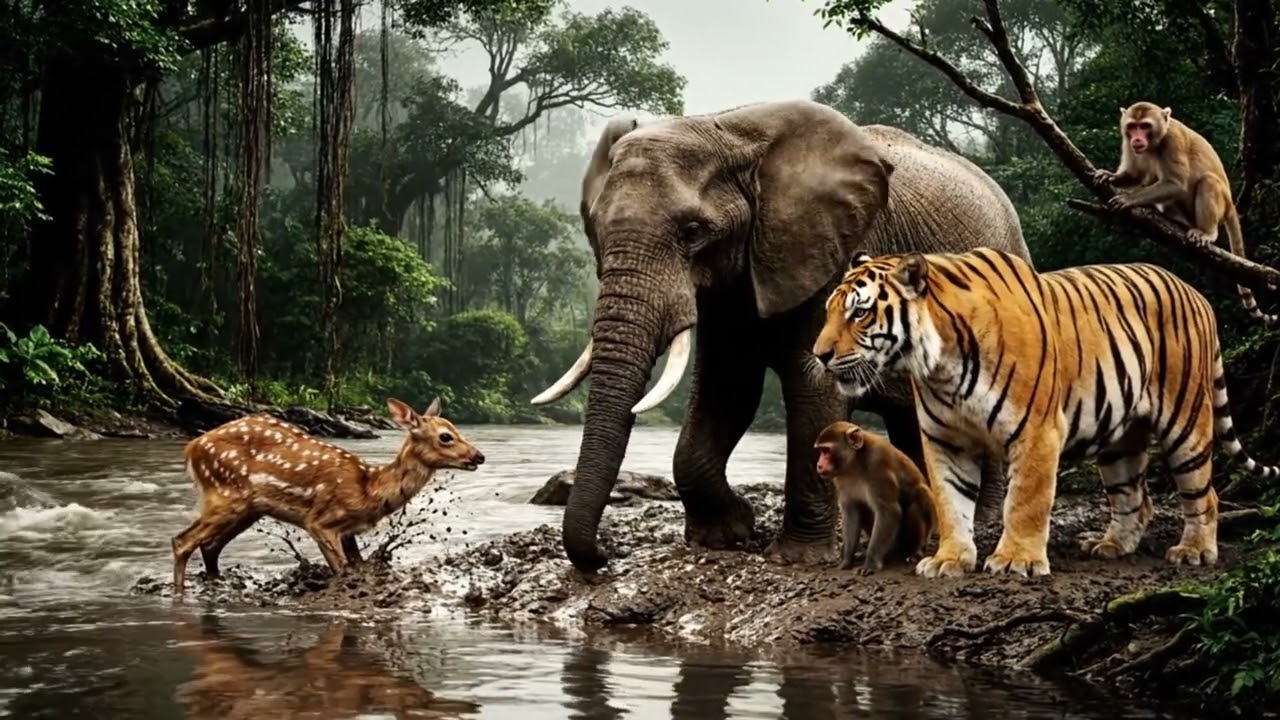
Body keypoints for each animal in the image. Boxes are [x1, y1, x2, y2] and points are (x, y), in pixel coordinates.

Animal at [814, 421, 936, 575]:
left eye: (826, 451)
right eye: (821, 451)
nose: (819, 465)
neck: (855, 462)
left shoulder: (877, 464)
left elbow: (889, 511)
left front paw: (870, 563)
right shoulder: (840, 478)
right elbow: (851, 511)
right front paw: (847, 559)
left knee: (919, 495)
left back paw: (914, 550)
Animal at [1093, 100, 1276, 326]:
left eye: (1145, 126)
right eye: (1132, 126)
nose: (1137, 139)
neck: (1156, 141)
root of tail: (1231, 205)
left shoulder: (1173, 141)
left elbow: (1176, 183)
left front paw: (1129, 199)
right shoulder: (1128, 143)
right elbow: (1134, 174)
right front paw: (1111, 177)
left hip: (1220, 205)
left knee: (1207, 181)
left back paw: (1207, 232)